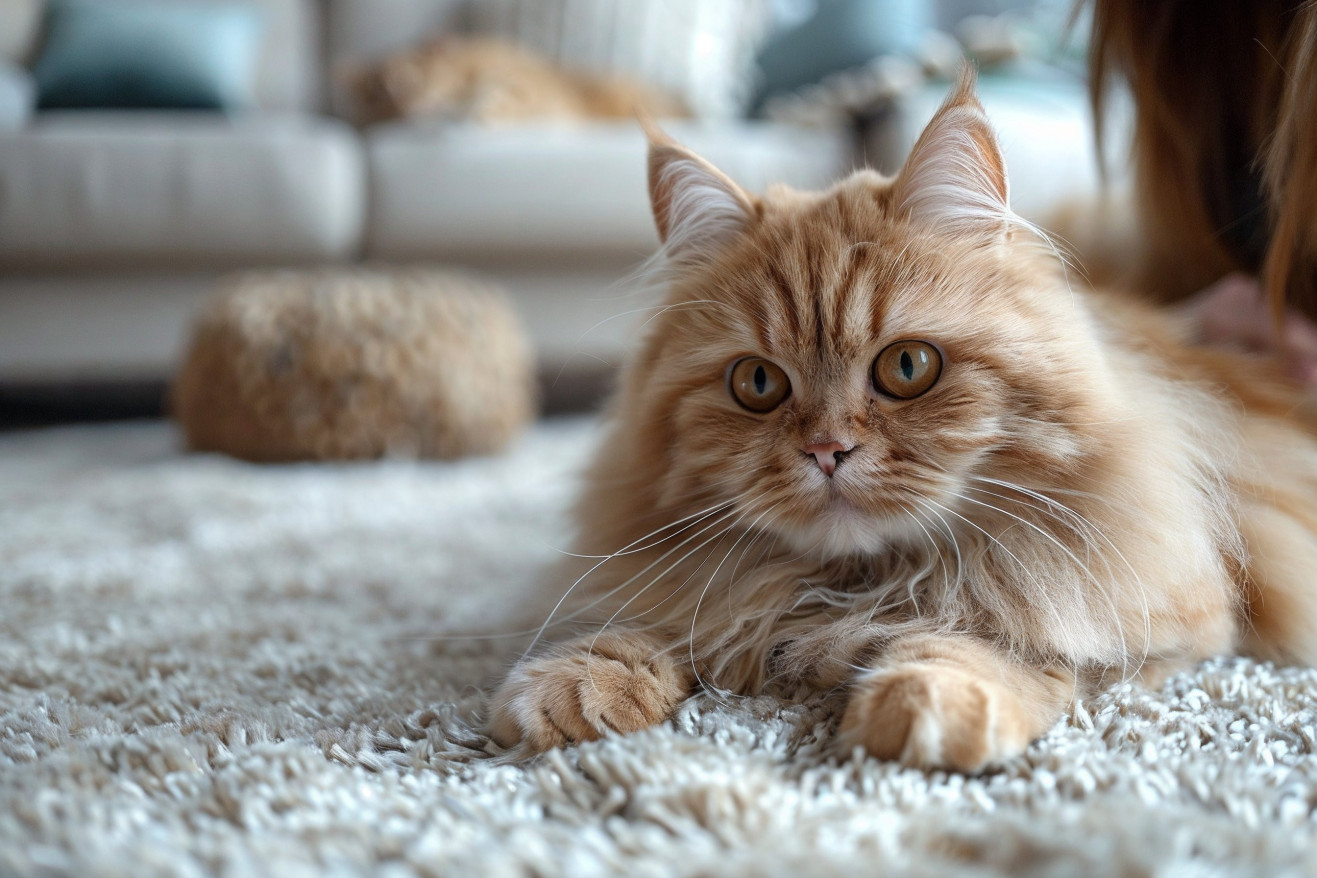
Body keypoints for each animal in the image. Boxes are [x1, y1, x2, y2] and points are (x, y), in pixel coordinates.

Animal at [489, 70, 1317, 768]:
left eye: (907, 368)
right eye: (757, 383)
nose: (826, 450)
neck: (859, 584)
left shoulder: (1161, 607)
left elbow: (1015, 630)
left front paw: (929, 697)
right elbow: (675, 615)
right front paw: (577, 683)